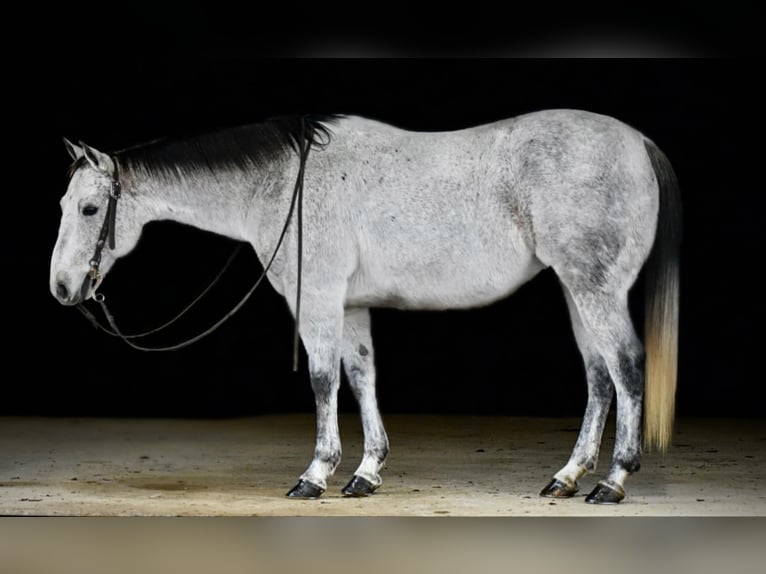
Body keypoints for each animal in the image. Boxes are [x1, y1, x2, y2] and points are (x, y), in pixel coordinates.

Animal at [51, 110, 680, 506]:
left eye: (89, 209)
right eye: (64, 204)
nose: (61, 287)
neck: (284, 183)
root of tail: (639, 143)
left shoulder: (318, 300)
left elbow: (324, 380)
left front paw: (316, 474)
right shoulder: (350, 305)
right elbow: (361, 377)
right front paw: (366, 473)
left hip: (595, 287)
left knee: (626, 366)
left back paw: (613, 481)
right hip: (576, 291)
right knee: (599, 376)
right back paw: (567, 478)